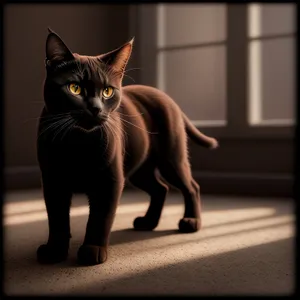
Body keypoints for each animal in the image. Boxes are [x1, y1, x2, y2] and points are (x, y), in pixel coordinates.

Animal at [37, 28, 218, 266]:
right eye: (74, 88)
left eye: (107, 91)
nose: (95, 108)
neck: (78, 143)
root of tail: (165, 96)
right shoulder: (53, 180)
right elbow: (57, 219)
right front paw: (54, 251)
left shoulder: (110, 181)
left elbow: (99, 218)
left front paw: (93, 251)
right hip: (140, 169)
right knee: (160, 188)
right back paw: (148, 222)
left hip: (171, 159)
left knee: (191, 186)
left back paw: (190, 221)